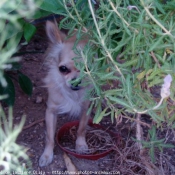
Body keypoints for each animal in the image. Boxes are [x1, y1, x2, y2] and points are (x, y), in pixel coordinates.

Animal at [39, 20, 90, 167]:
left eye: (87, 69)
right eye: (63, 69)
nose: (76, 81)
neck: (72, 93)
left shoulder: (86, 108)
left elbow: (81, 128)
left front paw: (80, 144)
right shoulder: (50, 111)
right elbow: (50, 137)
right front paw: (47, 155)